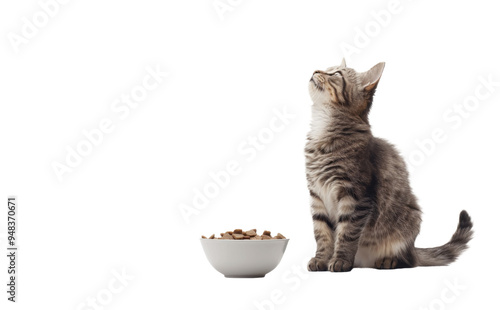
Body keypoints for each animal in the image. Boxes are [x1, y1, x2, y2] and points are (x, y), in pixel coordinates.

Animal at [304, 58, 472, 272]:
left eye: (336, 74)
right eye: (328, 68)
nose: (315, 70)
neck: (323, 129)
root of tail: (413, 249)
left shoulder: (356, 196)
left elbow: (347, 233)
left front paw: (340, 260)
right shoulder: (316, 195)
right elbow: (322, 234)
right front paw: (321, 259)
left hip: (408, 224)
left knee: (409, 261)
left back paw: (388, 260)